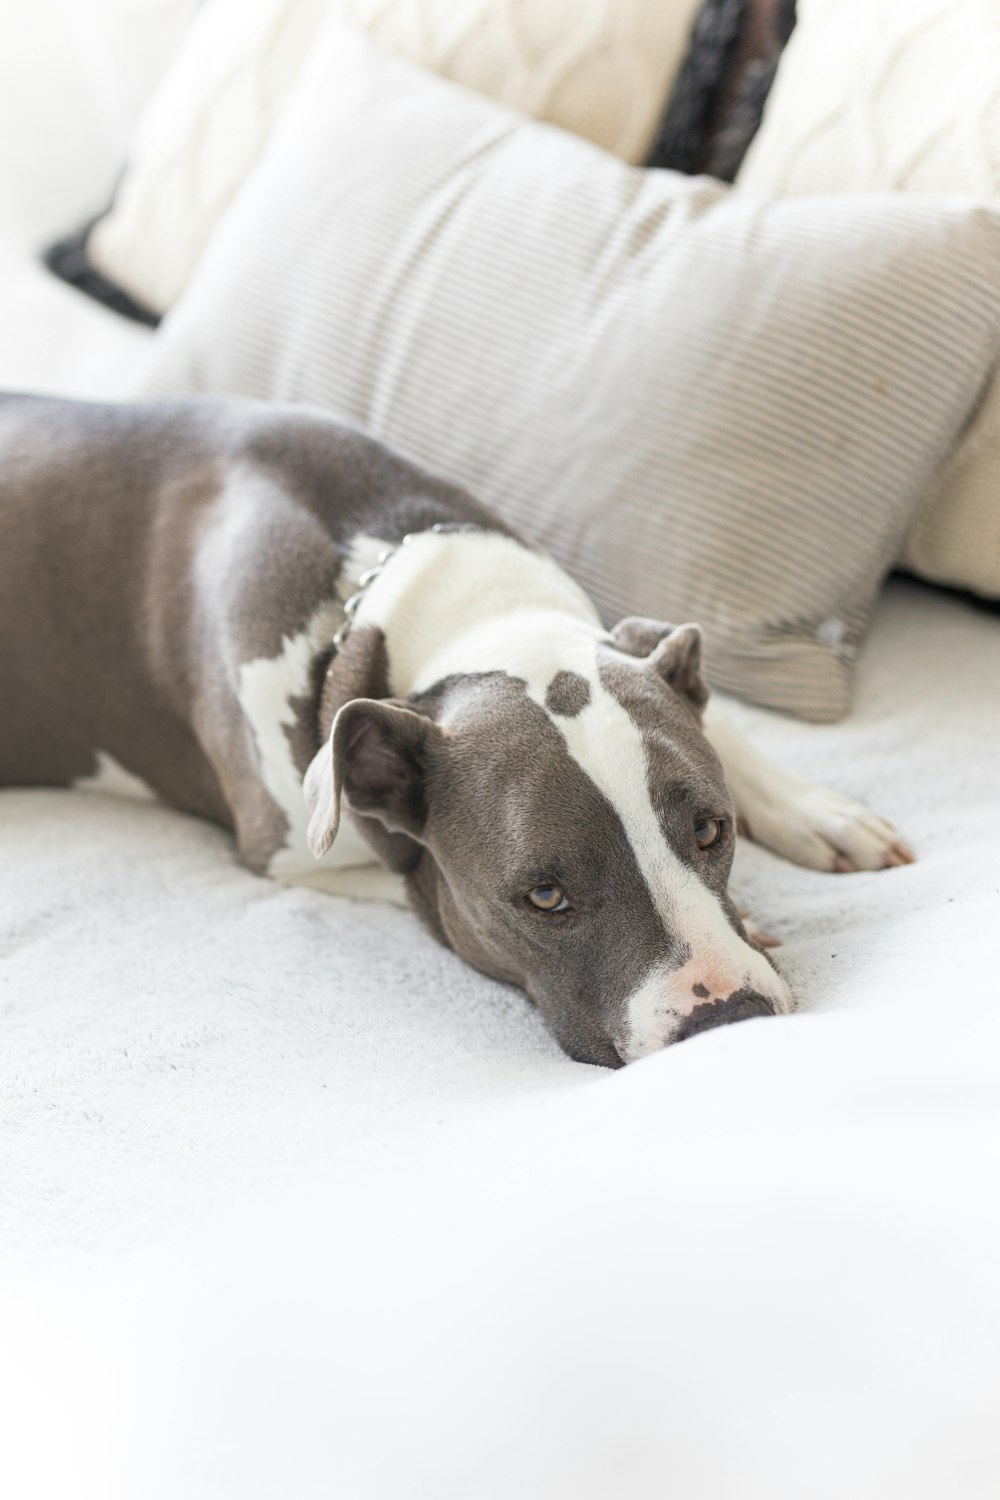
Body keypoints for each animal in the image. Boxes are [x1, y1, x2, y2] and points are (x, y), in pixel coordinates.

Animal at [0, 387, 917, 1068]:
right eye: (543, 897)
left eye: (710, 831)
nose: (728, 1018)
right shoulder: (288, 848)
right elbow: (410, 879)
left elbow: (716, 714)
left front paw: (816, 812)